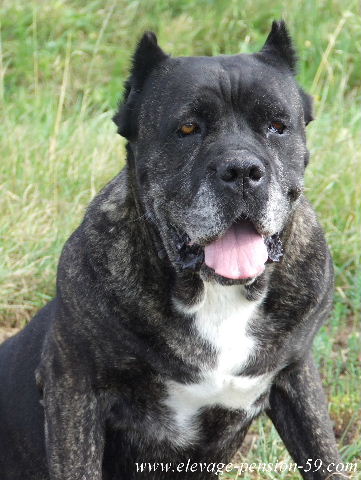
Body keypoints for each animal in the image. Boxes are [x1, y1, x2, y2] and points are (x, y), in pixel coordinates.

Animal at [0, 21, 344, 480]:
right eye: (187, 129)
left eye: (276, 125)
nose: (242, 170)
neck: (215, 294)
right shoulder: (73, 388)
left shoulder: (297, 376)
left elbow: (325, 456)